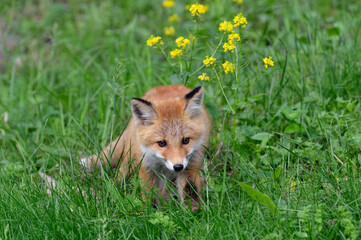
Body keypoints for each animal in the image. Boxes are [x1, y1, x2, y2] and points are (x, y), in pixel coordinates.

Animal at [81, 85, 211, 209]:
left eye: (185, 140)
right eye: (161, 143)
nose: (178, 167)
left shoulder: (191, 165)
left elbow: (190, 191)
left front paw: (195, 211)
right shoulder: (146, 165)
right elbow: (149, 194)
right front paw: (150, 211)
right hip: (130, 161)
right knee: (120, 175)